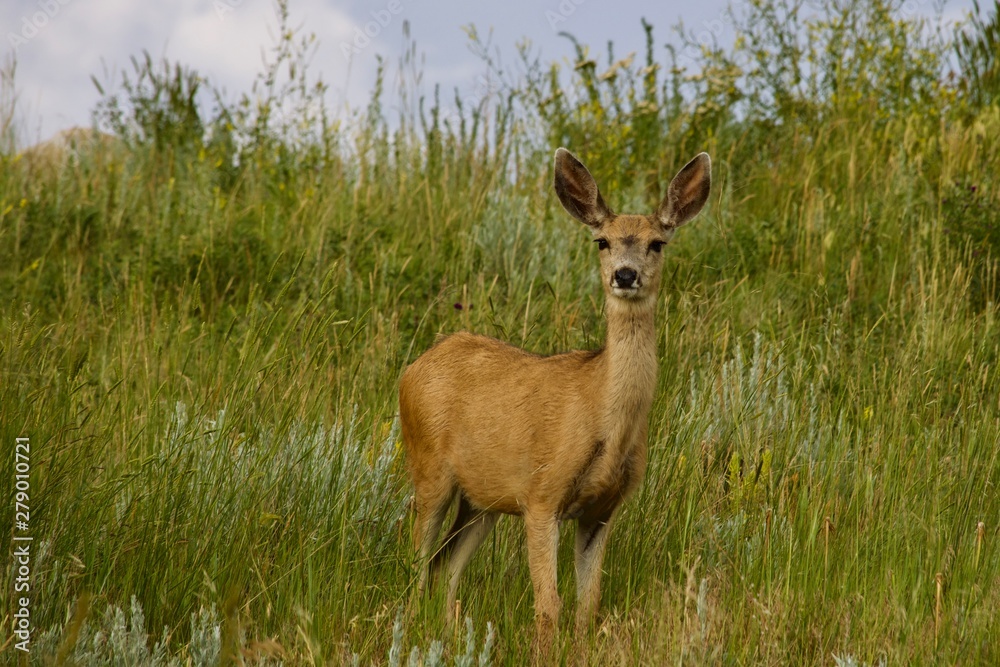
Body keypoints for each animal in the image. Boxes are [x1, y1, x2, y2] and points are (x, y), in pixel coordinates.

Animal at [398, 147, 711, 658]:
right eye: (602, 241)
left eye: (657, 243)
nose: (626, 275)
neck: (604, 418)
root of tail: (414, 366)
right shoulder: (542, 494)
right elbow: (549, 606)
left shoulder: (603, 509)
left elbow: (590, 605)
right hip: (429, 470)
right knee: (415, 561)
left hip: (482, 501)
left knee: (442, 569)